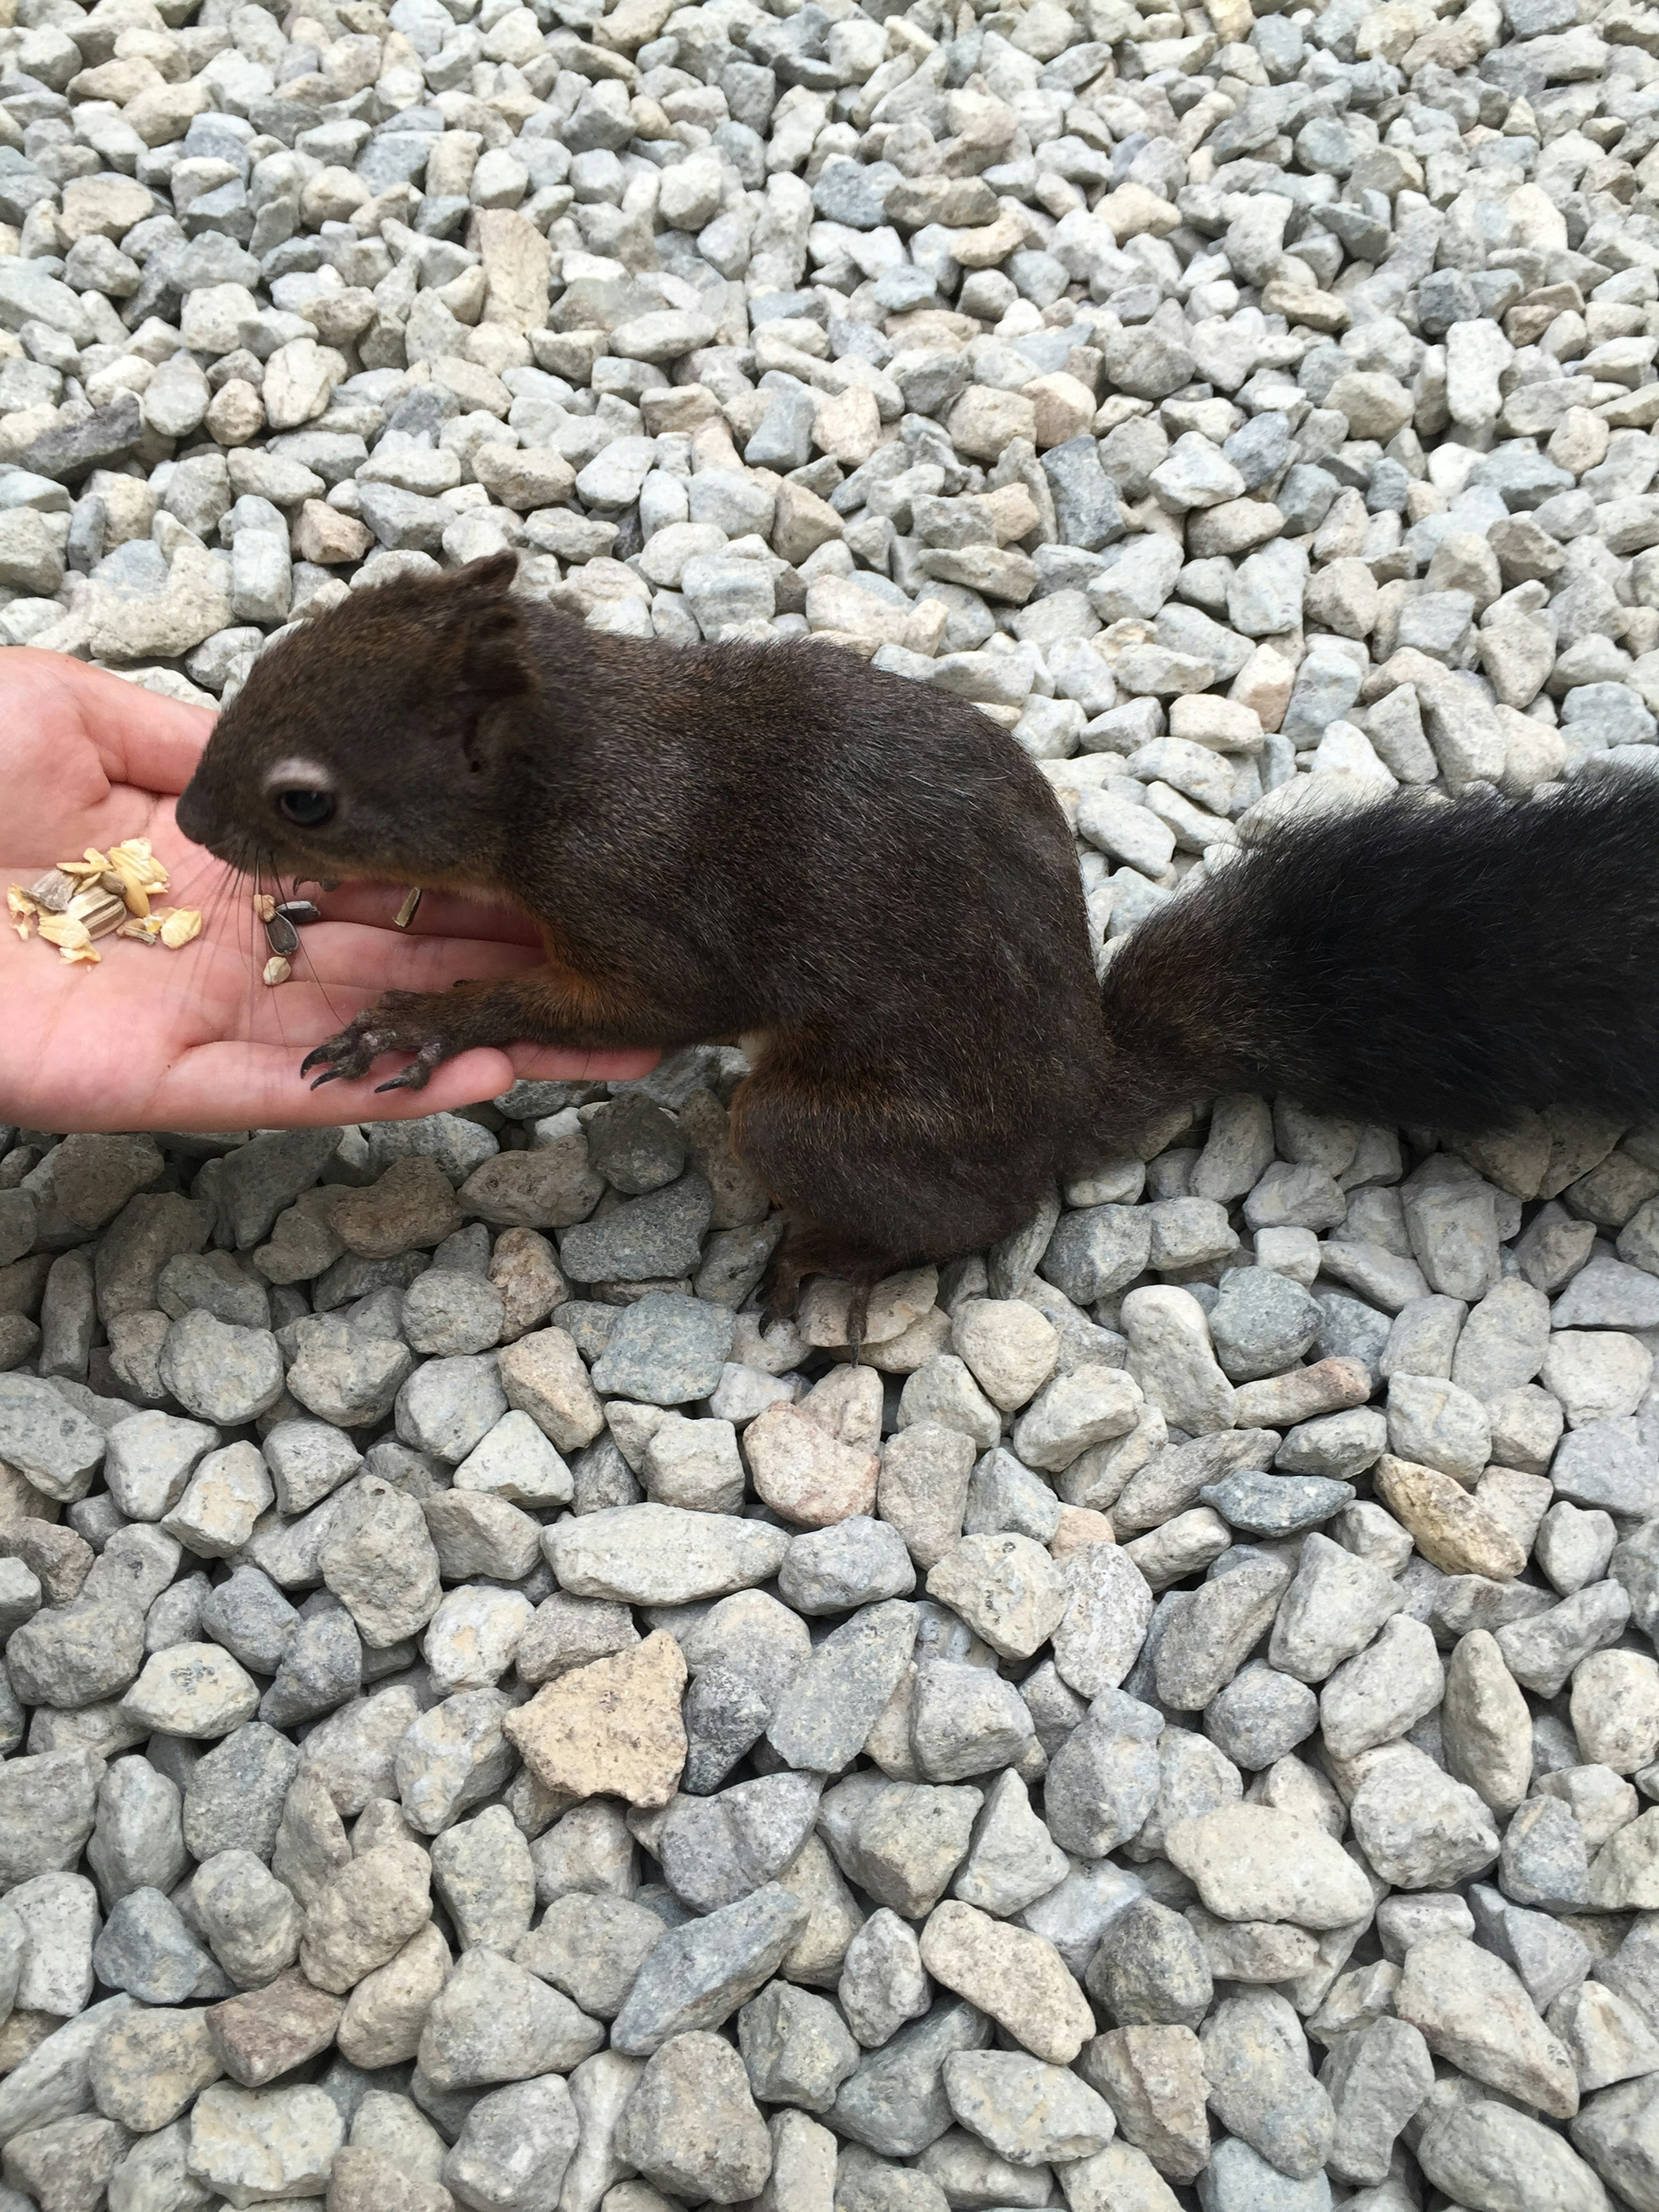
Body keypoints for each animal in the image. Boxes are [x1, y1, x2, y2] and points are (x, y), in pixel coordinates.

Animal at [172, 550, 1659, 1318]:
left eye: (306, 797)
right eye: (264, 661)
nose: (188, 819)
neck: (568, 760)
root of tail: (1074, 1093)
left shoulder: (640, 898)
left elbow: (632, 1006)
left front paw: (417, 1017)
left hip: (824, 1125)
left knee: (968, 1216)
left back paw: (838, 1255)